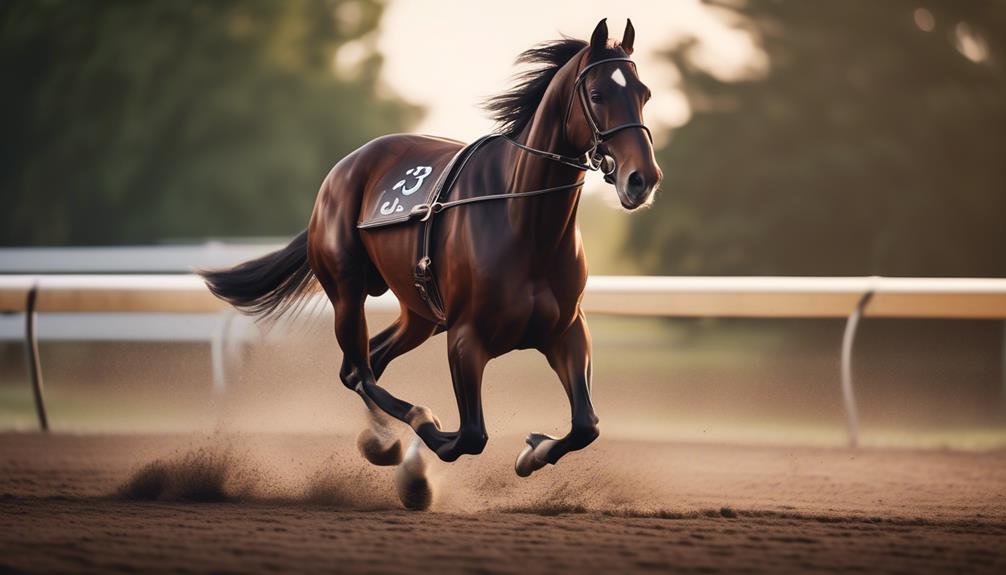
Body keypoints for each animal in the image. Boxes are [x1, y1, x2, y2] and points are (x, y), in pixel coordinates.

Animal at [200, 19, 663, 512]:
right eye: (597, 94)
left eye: (645, 92)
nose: (642, 179)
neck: (523, 221)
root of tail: (341, 170)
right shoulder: (465, 337)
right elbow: (471, 435)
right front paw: (419, 459)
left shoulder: (566, 329)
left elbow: (586, 424)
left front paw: (533, 451)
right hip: (347, 292)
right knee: (359, 369)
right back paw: (390, 441)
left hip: (420, 315)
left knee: (366, 363)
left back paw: (384, 437)